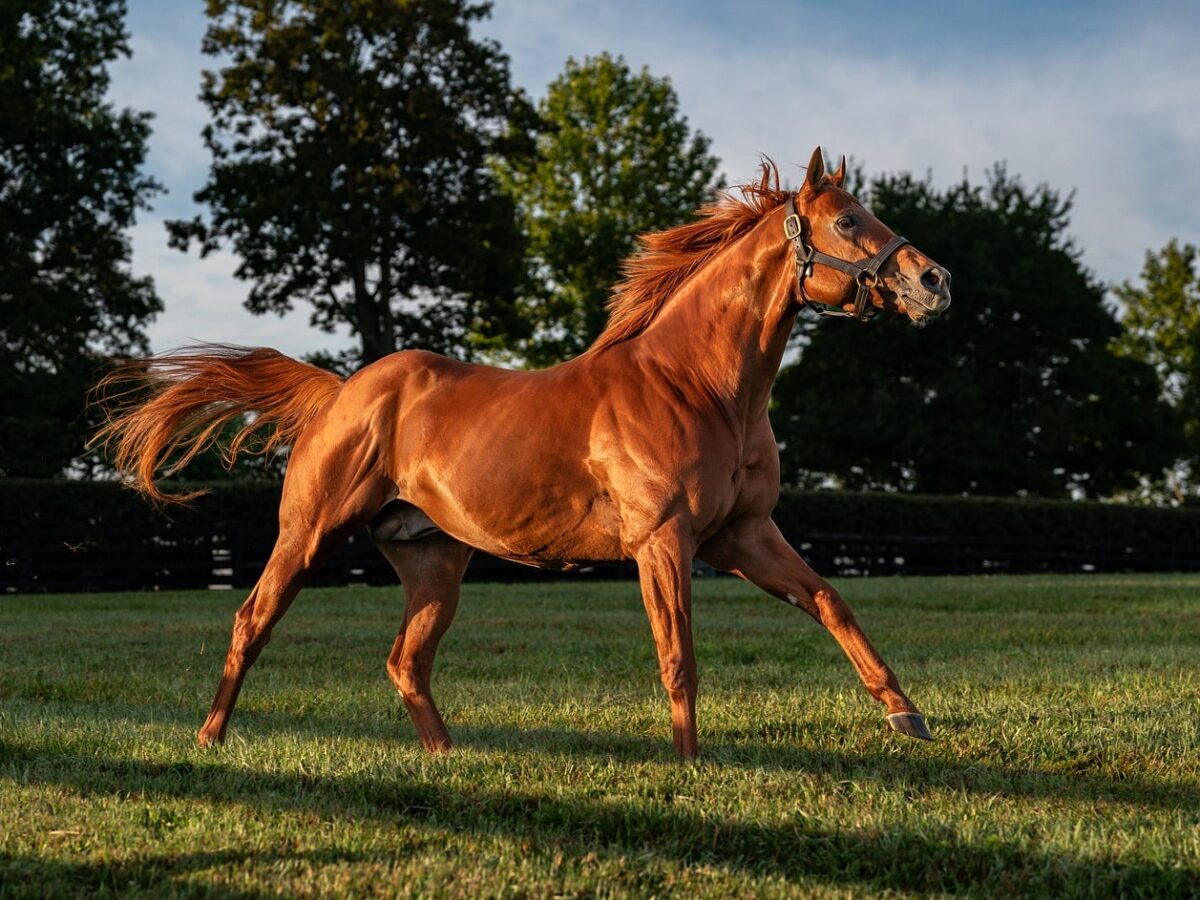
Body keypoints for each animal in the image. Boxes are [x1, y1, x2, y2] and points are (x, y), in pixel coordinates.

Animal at [93, 150, 950, 763]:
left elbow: (831, 602)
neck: (698, 385)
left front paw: (907, 716)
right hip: (307, 535)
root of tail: (342, 393)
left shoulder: (743, 535)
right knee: (252, 621)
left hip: (435, 563)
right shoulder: (663, 543)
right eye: (847, 222)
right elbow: (678, 656)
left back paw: (450, 757)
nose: (934, 280)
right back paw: (209, 739)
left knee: (406, 661)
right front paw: (690, 765)